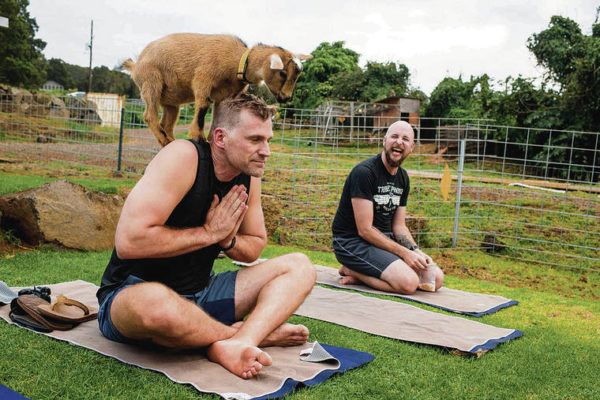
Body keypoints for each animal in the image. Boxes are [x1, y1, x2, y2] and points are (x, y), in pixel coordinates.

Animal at [121, 32, 310, 145]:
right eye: (283, 73)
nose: (286, 97)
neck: (236, 61)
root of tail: (136, 65)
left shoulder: (225, 95)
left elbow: (219, 117)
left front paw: (212, 139)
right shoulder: (203, 79)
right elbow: (203, 107)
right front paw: (198, 137)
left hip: (171, 101)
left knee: (166, 123)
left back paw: (171, 141)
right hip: (151, 82)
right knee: (149, 115)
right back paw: (166, 141)